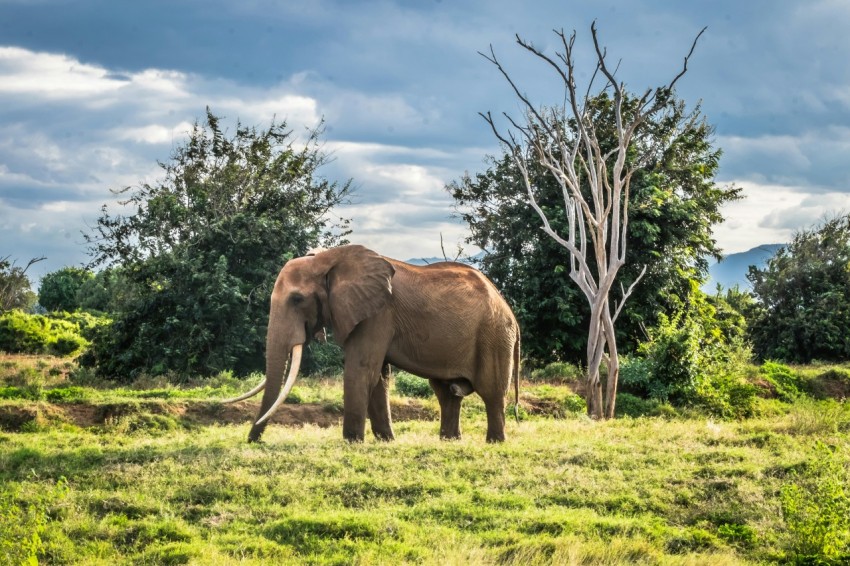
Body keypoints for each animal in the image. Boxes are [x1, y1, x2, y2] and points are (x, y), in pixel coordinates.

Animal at [224, 244, 520, 443]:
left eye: (297, 299)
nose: (254, 441)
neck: (328, 259)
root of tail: (508, 310)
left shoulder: (377, 314)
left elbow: (361, 368)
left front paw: (352, 442)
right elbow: (377, 376)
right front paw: (386, 441)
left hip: (494, 336)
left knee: (491, 392)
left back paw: (494, 442)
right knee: (447, 392)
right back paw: (450, 441)